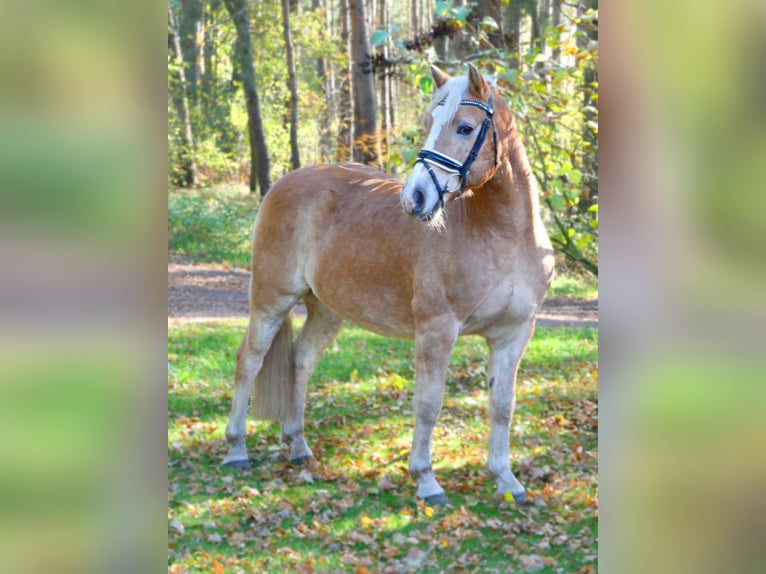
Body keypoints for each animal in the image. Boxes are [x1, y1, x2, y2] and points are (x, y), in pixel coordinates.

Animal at [225, 62, 556, 504]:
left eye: (465, 127)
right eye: (429, 122)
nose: (414, 198)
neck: (501, 235)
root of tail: (285, 181)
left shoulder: (514, 334)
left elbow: (502, 405)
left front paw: (506, 479)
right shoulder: (437, 329)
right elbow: (429, 403)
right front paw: (427, 480)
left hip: (325, 310)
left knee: (301, 360)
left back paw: (297, 445)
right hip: (271, 300)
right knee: (249, 361)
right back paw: (236, 449)